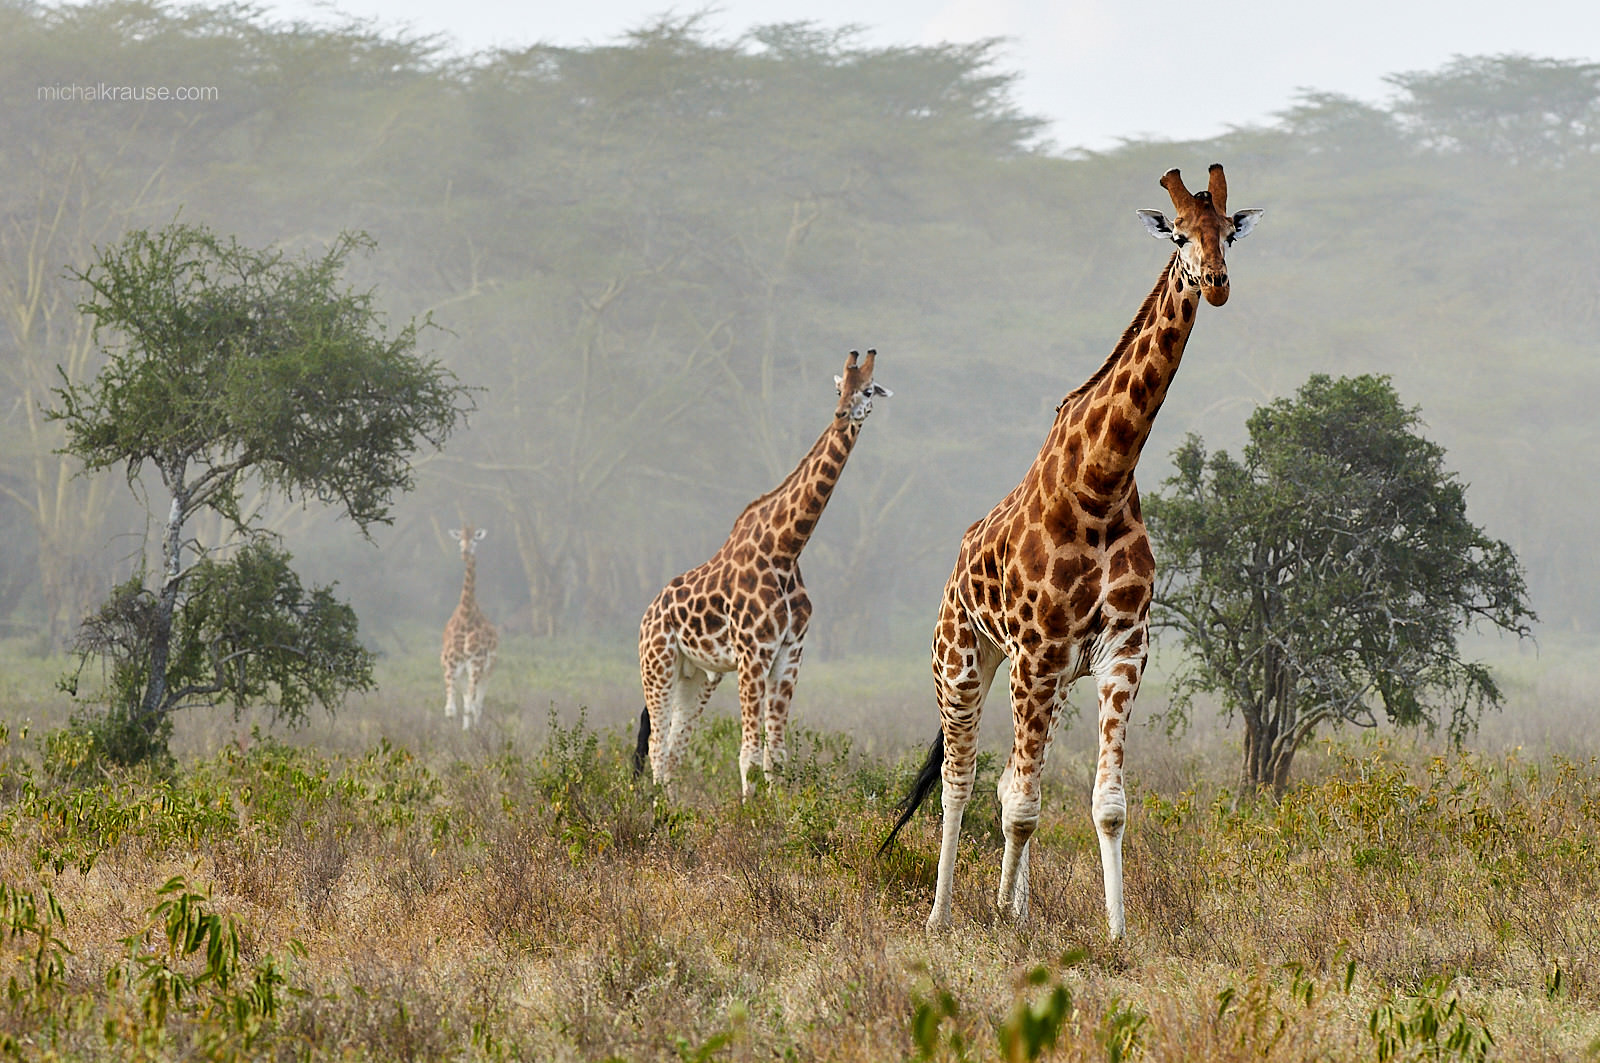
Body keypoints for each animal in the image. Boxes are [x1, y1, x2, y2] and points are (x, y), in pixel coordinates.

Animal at [441, 521, 496, 730]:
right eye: (459, 540)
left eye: (475, 540)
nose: (465, 553)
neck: (466, 617)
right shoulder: (451, 663)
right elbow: (450, 710)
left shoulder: (476, 661)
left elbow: (472, 705)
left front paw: (470, 733)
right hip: (463, 672)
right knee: (467, 699)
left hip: (487, 669)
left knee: (477, 703)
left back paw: (475, 728)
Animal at [633, 348, 889, 797]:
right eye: (840, 387)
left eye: (869, 389)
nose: (842, 414)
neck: (785, 548)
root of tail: (648, 613)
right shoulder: (753, 652)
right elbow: (749, 754)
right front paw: (750, 813)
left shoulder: (789, 654)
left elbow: (776, 757)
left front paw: (777, 810)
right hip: (657, 663)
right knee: (657, 746)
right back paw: (659, 810)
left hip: (696, 676)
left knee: (675, 748)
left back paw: (672, 807)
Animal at [876, 161, 1260, 934]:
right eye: (1179, 234)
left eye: (1230, 233)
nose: (1216, 282)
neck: (1101, 483)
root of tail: (954, 570)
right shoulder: (1039, 651)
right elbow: (1023, 807)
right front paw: (1000, 923)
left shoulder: (1122, 652)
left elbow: (1106, 805)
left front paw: (1114, 933)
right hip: (964, 662)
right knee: (962, 780)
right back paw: (942, 916)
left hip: (1039, 679)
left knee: (1004, 779)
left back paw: (1013, 905)